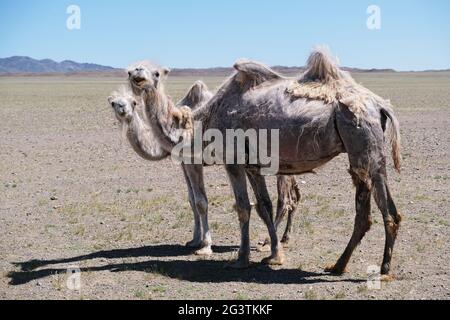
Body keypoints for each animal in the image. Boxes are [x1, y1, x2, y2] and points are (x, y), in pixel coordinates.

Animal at [108, 81, 298, 254]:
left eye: (133, 102)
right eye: (113, 103)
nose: (123, 109)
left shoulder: (195, 160)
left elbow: (201, 202)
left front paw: (205, 245)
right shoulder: (183, 163)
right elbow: (192, 200)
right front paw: (194, 240)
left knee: (284, 200)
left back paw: (267, 242)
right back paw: (284, 238)